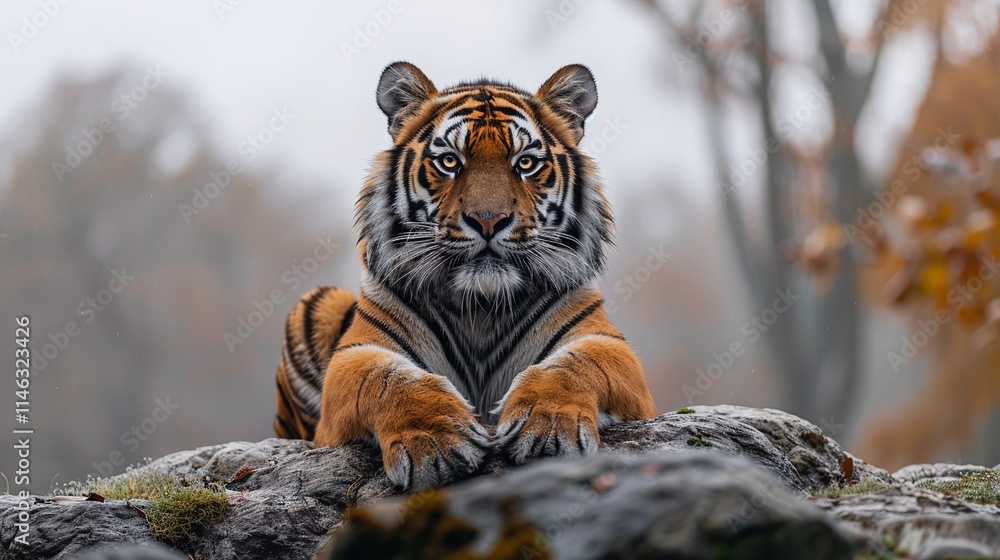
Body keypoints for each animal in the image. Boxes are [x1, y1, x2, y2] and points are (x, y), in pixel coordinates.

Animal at [274, 62, 655, 490]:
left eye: (525, 163)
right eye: (450, 162)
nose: (488, 220)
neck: (481, 306)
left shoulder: (604, 342)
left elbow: (572, 366)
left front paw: (549, 425)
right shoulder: (358, 353)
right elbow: (390, 380)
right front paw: (435, 440)